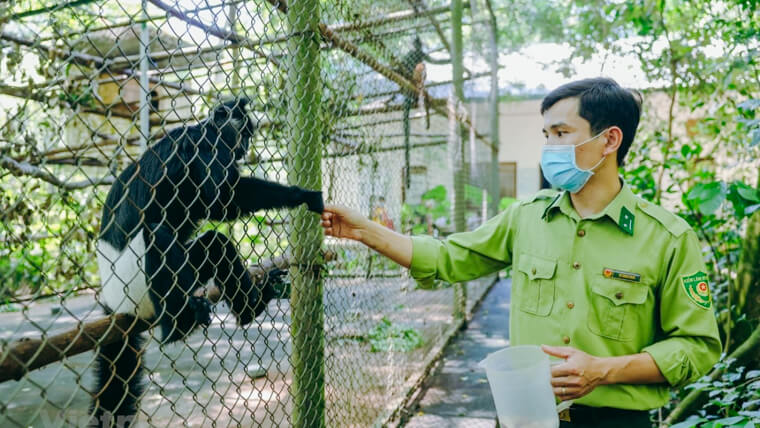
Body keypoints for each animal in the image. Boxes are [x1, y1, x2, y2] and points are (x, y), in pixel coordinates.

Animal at [92, 98, 324, 426]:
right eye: (245, 133)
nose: (246, 146)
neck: (204, 129)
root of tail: (115, 303)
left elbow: (227, 205)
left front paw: (300, 195)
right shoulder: (206, 148)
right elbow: (220, 201)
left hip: (181, 270)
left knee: (216, 246)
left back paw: (252, 308)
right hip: (134, 282)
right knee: (157, 235)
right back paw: (179, 326)